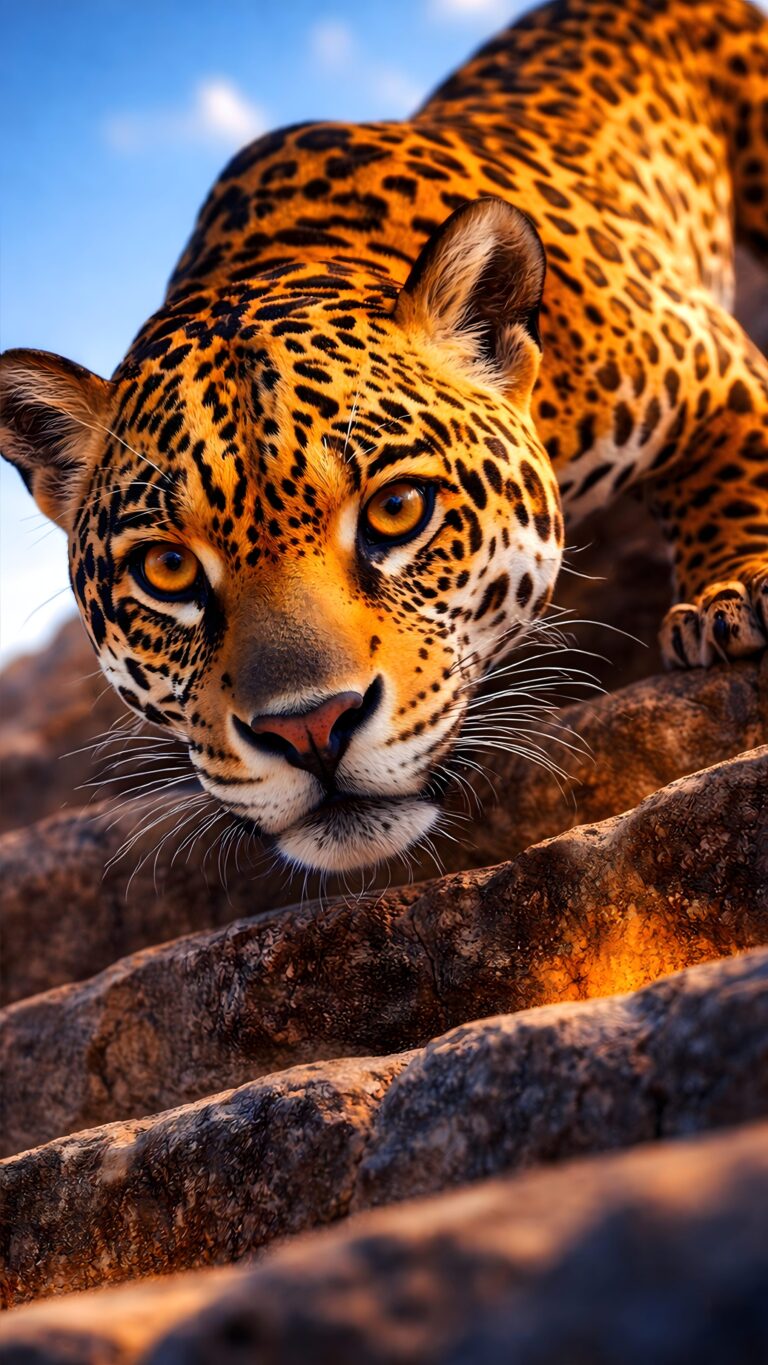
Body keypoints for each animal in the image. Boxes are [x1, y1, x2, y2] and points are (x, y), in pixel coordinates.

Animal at [1, 0, 767, 876]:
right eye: (166, 569)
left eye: (397, 510)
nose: (308, 728)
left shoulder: (703, 359)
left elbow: (734, 477)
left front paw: (731, 594)